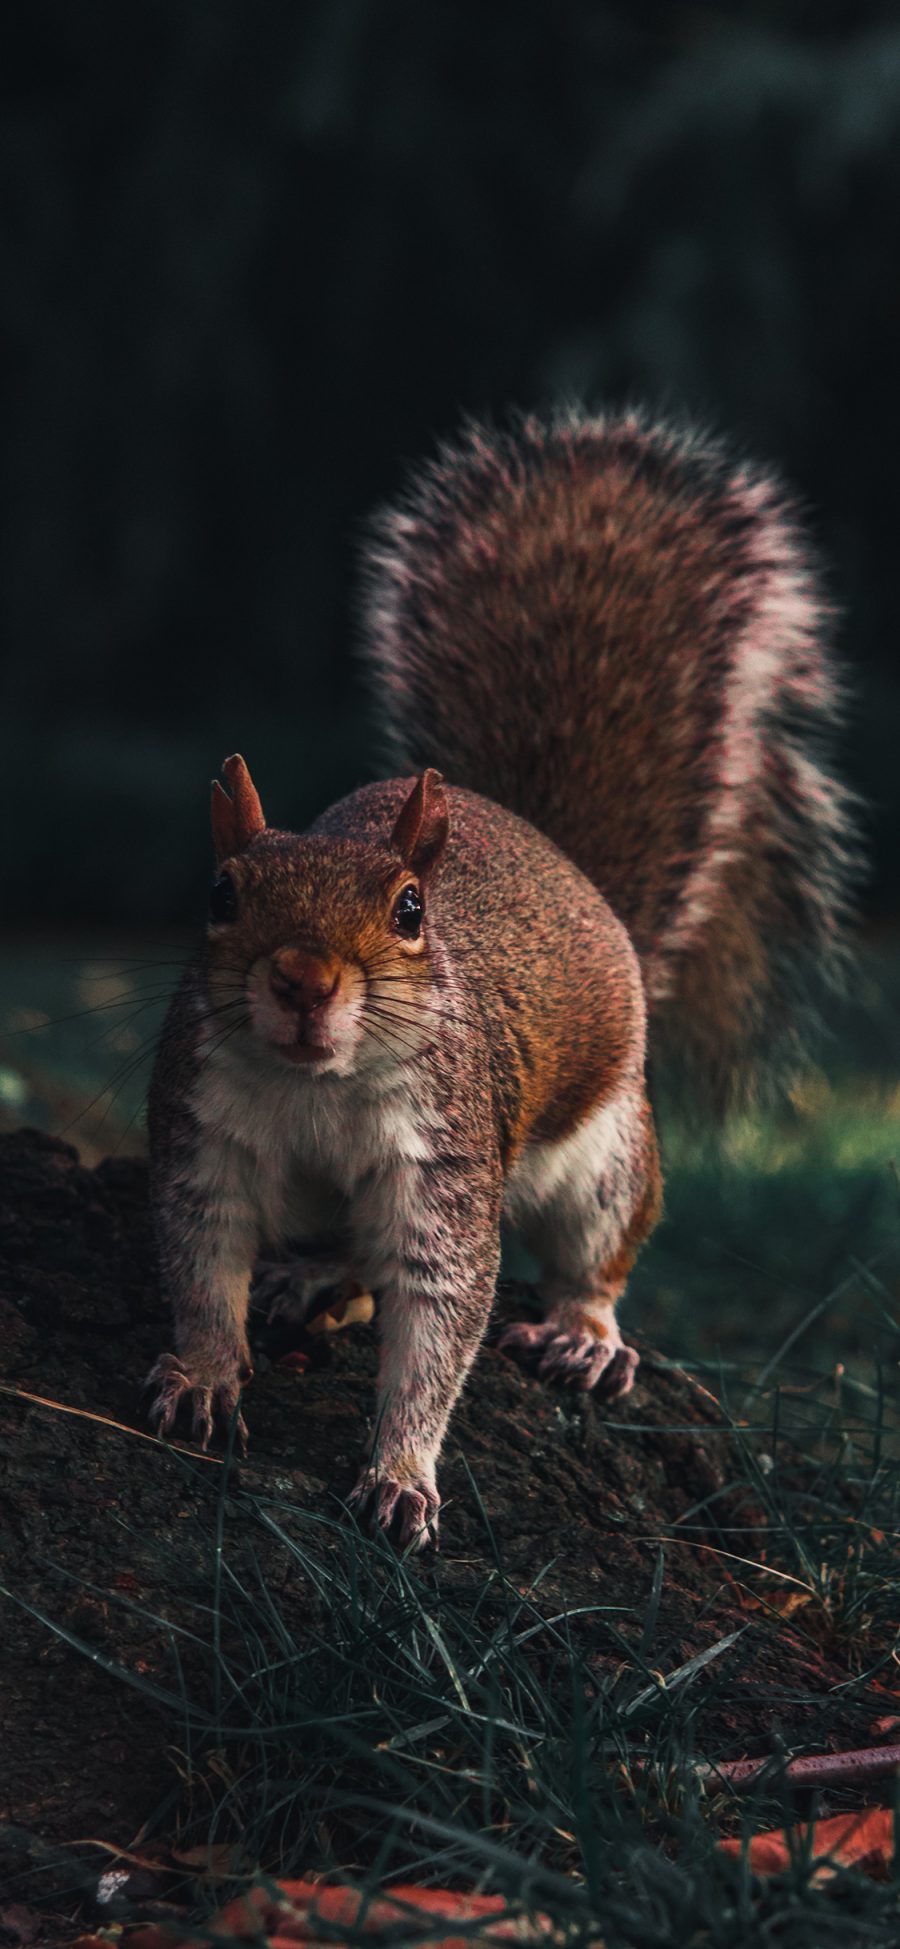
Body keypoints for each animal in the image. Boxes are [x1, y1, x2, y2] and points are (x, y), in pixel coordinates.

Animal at [144, 403, 853, 1543]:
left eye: (409, 911)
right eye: (220, 893)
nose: (301, 978)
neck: (317, 1085)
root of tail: (570, 872)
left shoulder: (448, 1160)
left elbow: (442, 1315)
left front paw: (401, 1470)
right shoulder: (201, 1131)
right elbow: (202, 1264)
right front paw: (206, 1375)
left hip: (607, 1152)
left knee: (596, 1248)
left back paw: (583, 1333)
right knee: (346, 1254)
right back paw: (317, 1276)